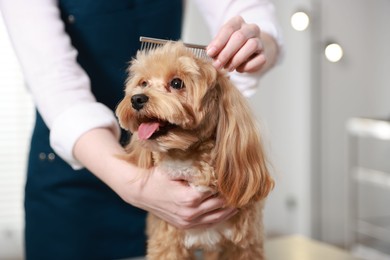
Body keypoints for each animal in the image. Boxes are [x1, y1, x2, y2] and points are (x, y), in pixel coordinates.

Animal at [116, 41, 274, 258]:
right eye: (144, 83)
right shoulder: (168, 242)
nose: (137, 99)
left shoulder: (244, 245)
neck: (186, 162)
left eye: (176, 83)